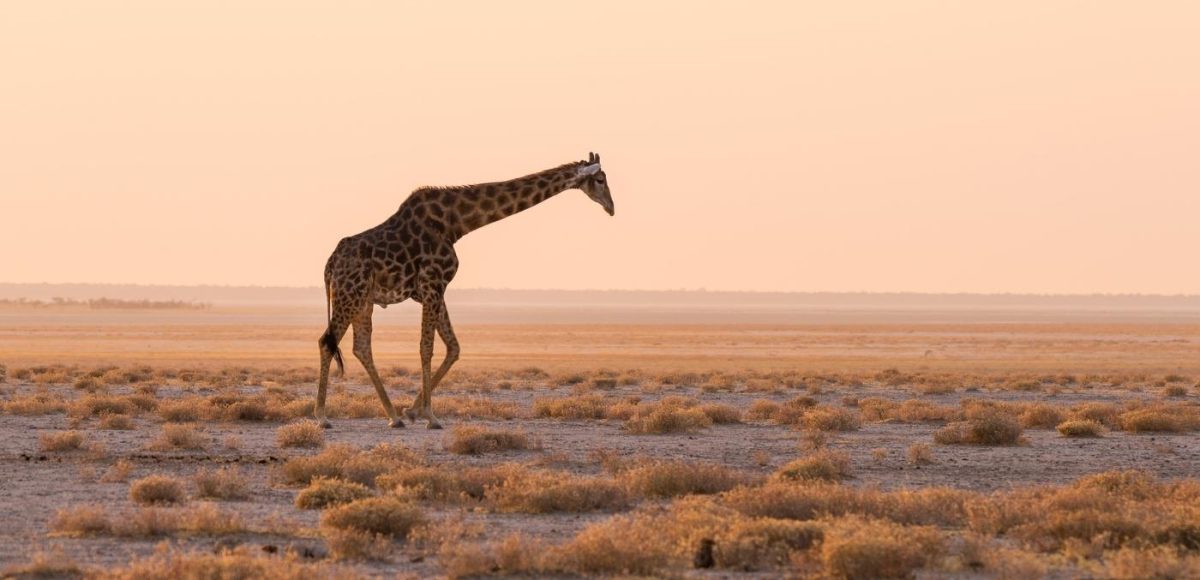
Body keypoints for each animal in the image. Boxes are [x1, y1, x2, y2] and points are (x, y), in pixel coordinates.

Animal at [314, 153, 614, 429]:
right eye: (600, 180)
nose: (611, 207)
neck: (455, 223)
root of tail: (329, 265)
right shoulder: (433, 284)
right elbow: (426, 347)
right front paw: (431, 416)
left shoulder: (433, 290)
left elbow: (453, 347)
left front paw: (413, 411)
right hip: (350, 294)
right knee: (327, 341)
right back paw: (322, 416)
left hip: (363, 300)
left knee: (361, 347)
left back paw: (393, 416)